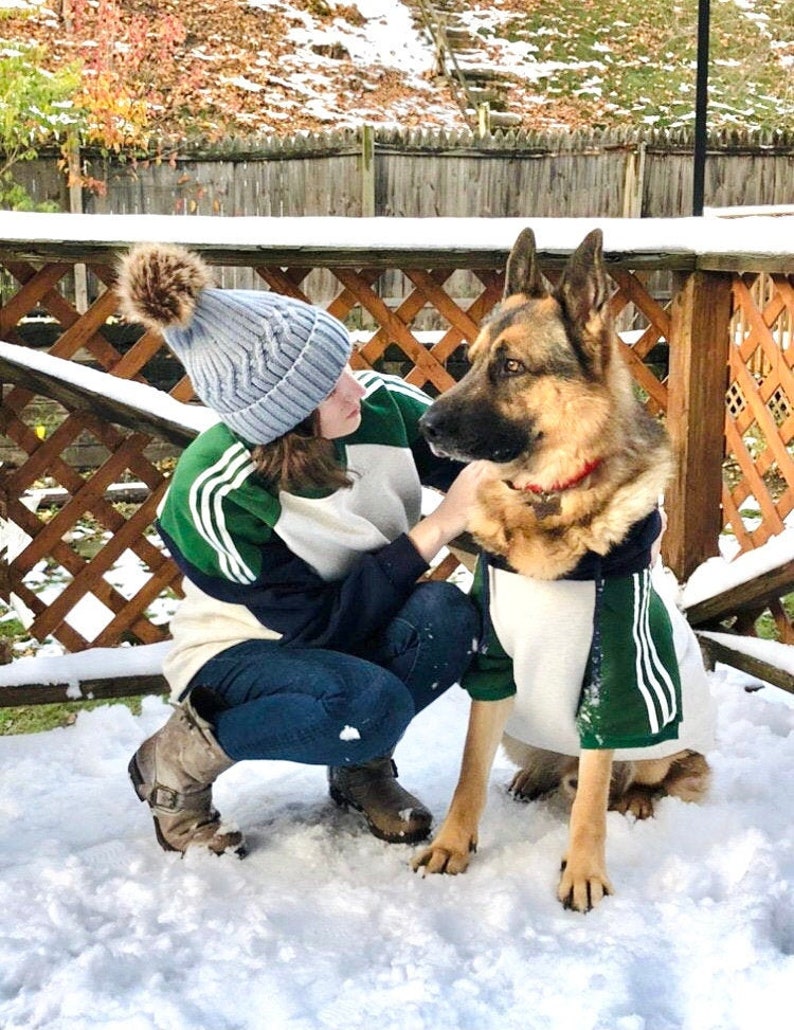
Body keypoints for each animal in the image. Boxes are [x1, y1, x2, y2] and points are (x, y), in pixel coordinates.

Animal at [413, 231, 712, 910]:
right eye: (470, 360)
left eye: (511, 367)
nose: (425, 426)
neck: (547, 500)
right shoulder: (493, 666)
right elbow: (469, 770)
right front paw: (452, 844)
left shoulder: (614, 681)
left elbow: (593, 803)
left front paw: (583, 871)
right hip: (525, 727)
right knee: (560, 770)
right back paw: (537, 775)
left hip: (661, 744)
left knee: (632, 779)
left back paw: (634, 799)